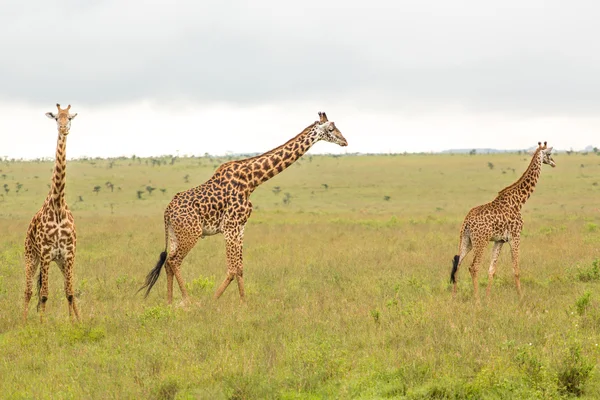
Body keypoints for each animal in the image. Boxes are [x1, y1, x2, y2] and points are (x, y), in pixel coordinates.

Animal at [23, 103, 80, 322]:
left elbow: (70, 292)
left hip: (60, 262)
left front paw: (74, 323)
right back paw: (23, 322)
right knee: (29, 291)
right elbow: (44, 294)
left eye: (69, 117)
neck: (57, 205)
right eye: (56, 117)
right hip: (31, 256)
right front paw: (41, 325)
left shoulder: (69, 254)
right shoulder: (46, 254)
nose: (64, 128)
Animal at [139, 111, 350, 302]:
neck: (251, 180)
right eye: (331, 129)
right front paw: (213, 300)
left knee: (168, 262)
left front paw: (243, 303)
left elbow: (240, 268)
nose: (345, 141)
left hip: (176, 234)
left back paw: (169, 302)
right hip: (192, 233)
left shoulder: (240, 227)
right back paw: (187, 301)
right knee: (174, 261)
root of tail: (167, 212)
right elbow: (232, 269)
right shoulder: (230, 226)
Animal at [452, 142, 556, 302]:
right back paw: (477, 300)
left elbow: (492, 270)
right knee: (473, 267)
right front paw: (521, 297)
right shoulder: (515, 236)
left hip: (466, 240)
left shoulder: (499, 240)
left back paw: (453, 299)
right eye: (549, 154)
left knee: (458, 265)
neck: (519, 201)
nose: (554, 163)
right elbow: (516, 269)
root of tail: (467, 222)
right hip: (480, 241)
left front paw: (488, 298)